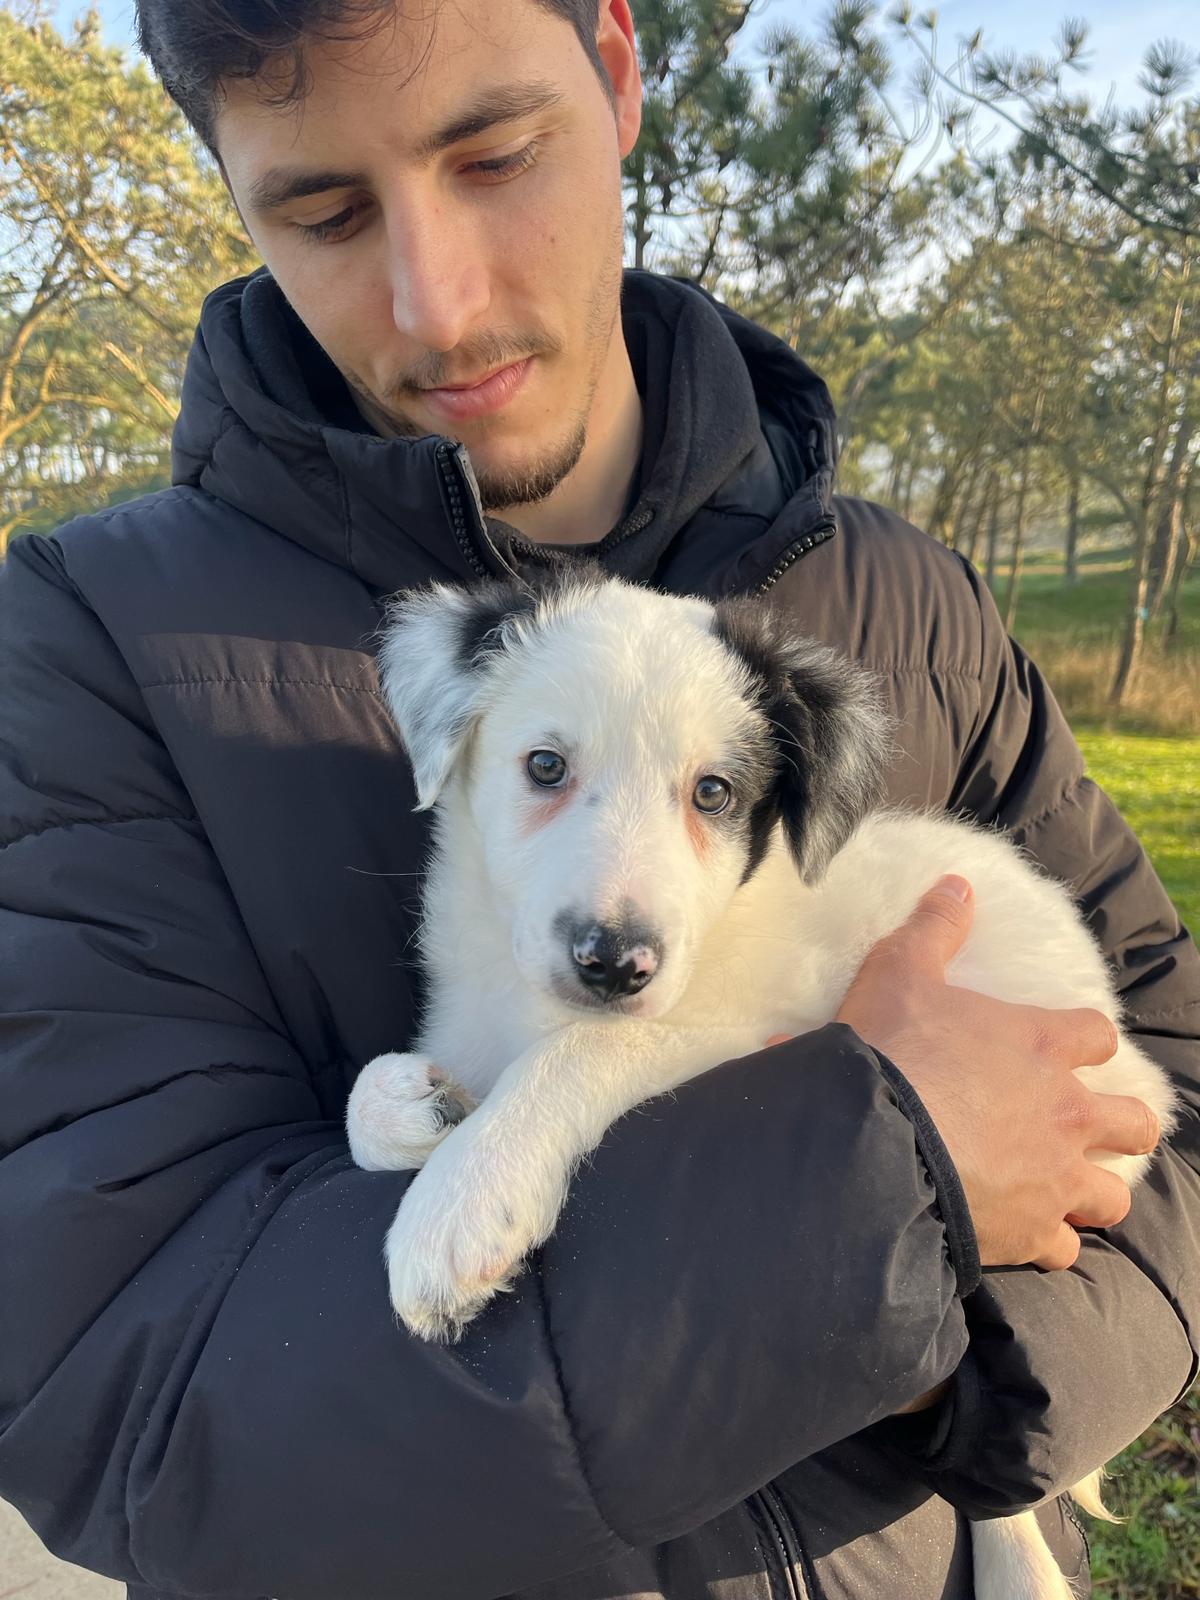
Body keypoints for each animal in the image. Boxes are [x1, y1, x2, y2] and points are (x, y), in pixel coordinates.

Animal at [345, 572, 1177, 1600]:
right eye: (545, 766)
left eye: (715, 793)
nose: (616, 964)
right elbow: (372, 1100)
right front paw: (423, 1110)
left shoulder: (753, 1032)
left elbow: (582, 1054)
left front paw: (462, 1205)